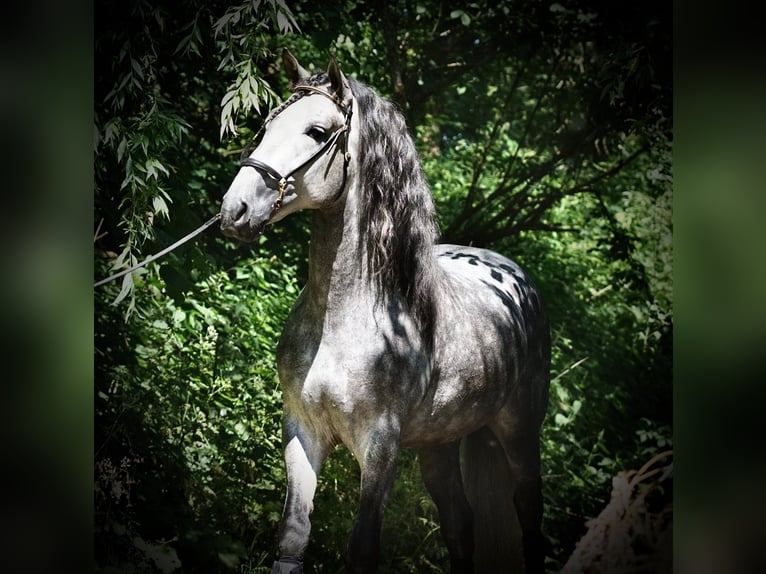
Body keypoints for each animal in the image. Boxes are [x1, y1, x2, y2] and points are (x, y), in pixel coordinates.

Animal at [220, 49, 550, 574]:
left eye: (317, 131)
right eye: (267, 126)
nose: (236, 209)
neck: (344, 321)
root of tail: (513, 277)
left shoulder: (380, 446)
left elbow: (363, 547)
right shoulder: (302, 433)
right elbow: (293, 535)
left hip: (519, 431)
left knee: (528, 518)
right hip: (440, 444)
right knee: (460, 526)